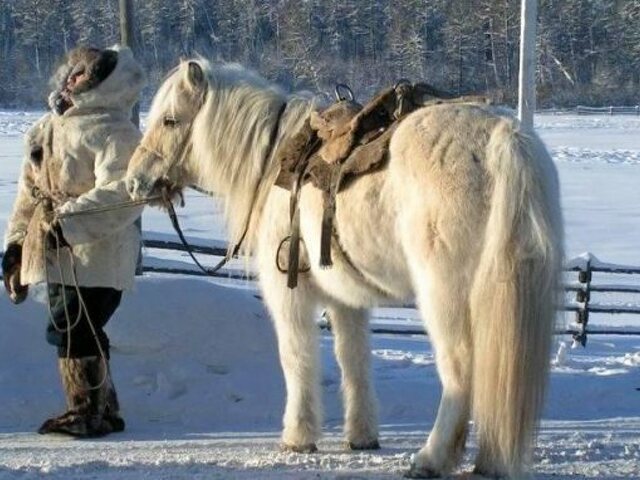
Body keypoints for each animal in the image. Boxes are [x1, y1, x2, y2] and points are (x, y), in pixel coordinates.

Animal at [126, 59, 564, 476]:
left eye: (170, 120)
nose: (134, 181)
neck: (273, 164)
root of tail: (504, 139)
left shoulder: (290, 294)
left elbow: (297, 358)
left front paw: (298, 437)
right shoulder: (347, 300)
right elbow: (354, 361)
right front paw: (362, 436)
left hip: (446, 297)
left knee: (461, 370)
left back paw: (432, 458)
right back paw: (490, 459)